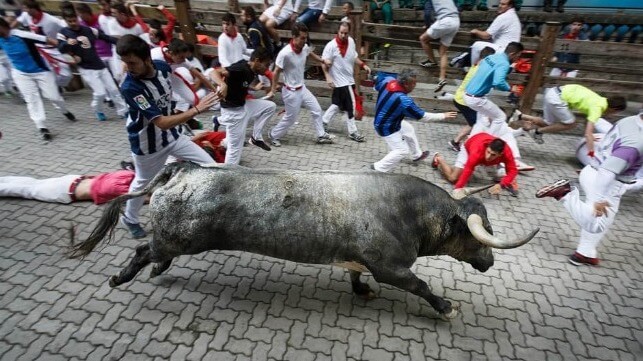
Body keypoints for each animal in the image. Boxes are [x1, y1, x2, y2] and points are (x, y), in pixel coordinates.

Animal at [70, 162, 540, 318]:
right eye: (482, 235)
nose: (489, 262)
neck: (408, 212)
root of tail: (181, 170)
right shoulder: (392, 268)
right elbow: (422, 286)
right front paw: (446, 307)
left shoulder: (362, 261)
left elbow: (356, 276)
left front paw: (360, 291)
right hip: (177, 238)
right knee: (142, 248)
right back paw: (121, 277)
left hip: (177, 239)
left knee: (155, 253)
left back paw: (156, 269)